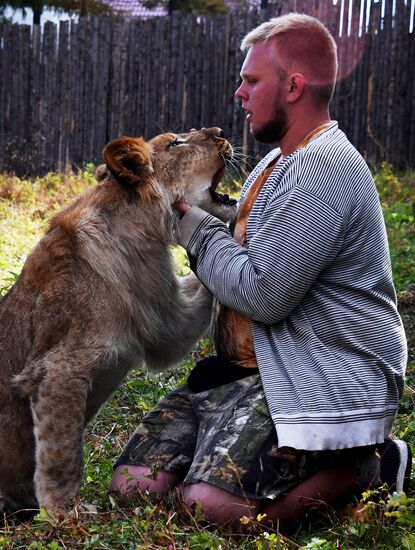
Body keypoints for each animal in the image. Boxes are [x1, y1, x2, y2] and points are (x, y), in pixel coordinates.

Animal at [0, 127, 237, 516]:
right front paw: (65, 514)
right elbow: (62, 454)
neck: (141, 240)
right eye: (176, 142)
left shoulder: (165, 322)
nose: (219, 132)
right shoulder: (57, 370)